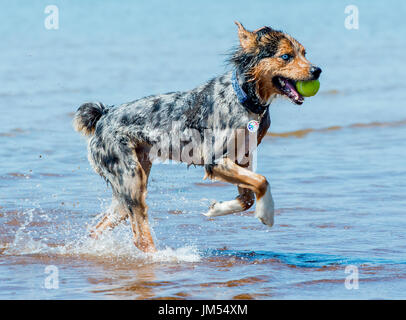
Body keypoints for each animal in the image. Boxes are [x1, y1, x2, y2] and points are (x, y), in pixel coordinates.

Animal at [73, 21, 320, 252]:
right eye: (286, 56)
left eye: (305, 53)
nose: (317, 71)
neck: (244, 98)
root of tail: (104, 115)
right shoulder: (216, 160)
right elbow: (262, 181)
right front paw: (266, 213)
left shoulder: (242, 158)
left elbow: (248, 198)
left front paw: (218, 209)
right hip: (130, 178)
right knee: (140, 237)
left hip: (130, 182)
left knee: (101, 226)